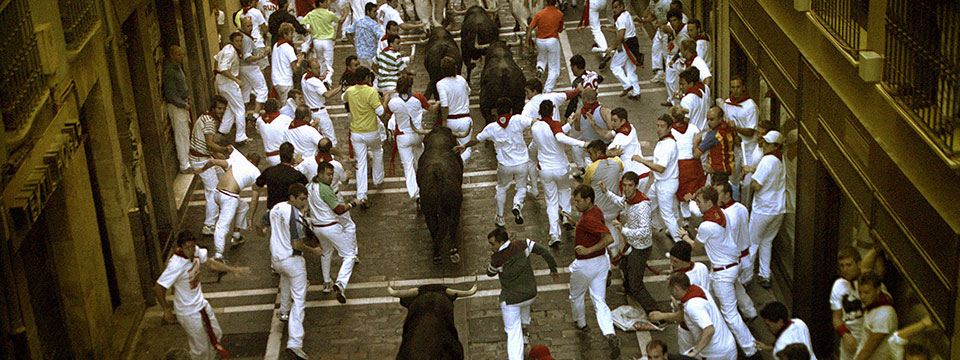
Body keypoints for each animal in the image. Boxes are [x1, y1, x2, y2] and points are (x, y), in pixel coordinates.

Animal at [416, 128, 464, 262]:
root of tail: (438, 172)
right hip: (454, 207)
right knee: (452, 226)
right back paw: (453, 251)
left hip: (428, 209)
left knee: (433, 227)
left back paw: (437, 253)